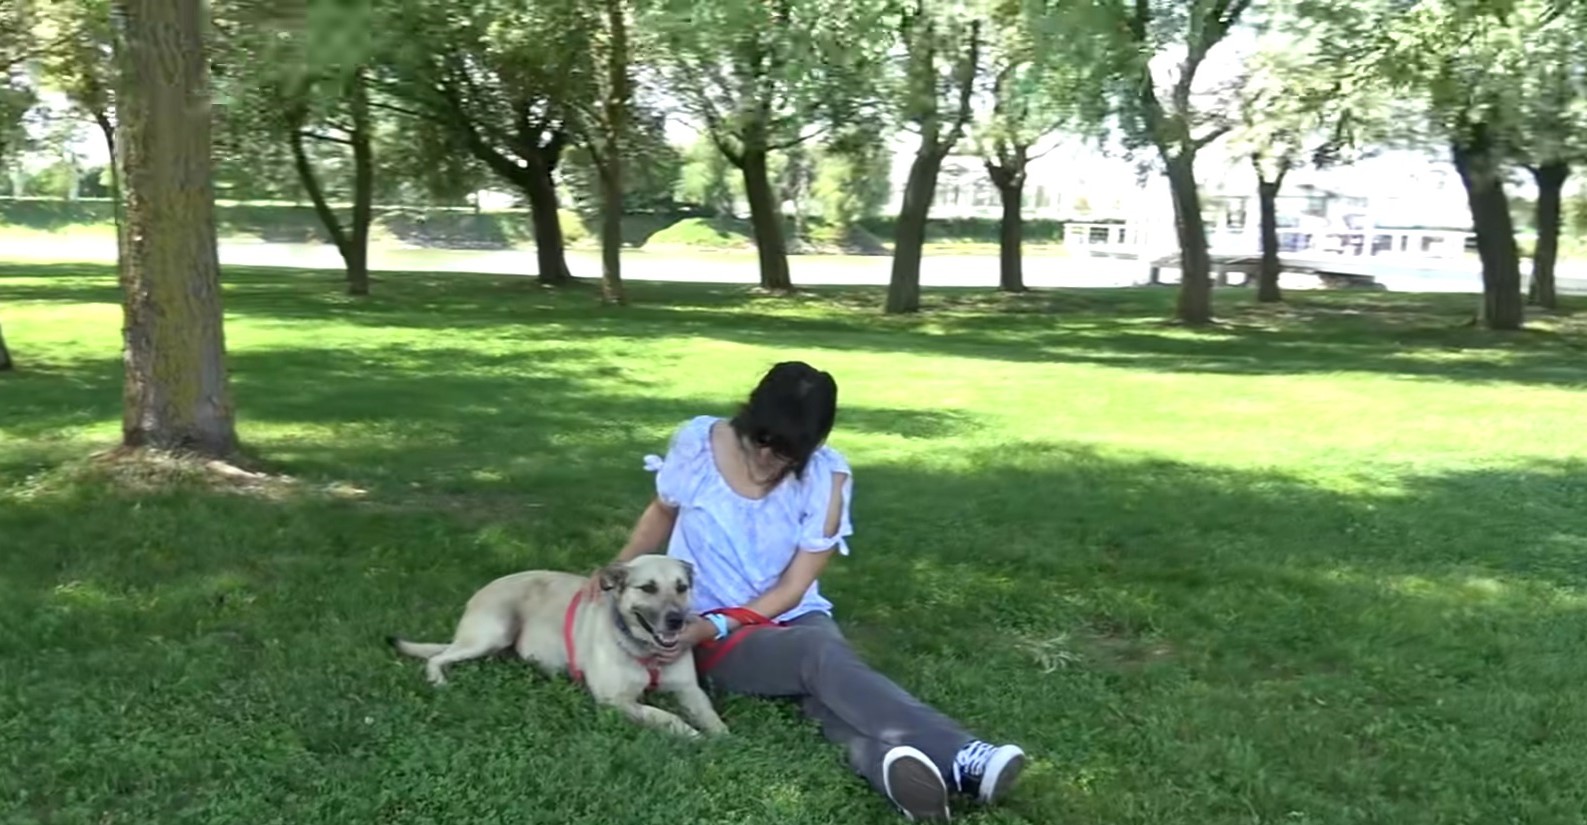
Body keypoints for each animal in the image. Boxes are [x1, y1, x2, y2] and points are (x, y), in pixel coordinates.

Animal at [387, 558, 726, 739]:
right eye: (648, 588)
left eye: (682, 587)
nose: (677, 621)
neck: (646, 652)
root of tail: (483, 590)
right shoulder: (615, 701)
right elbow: (666, 716)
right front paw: (693, 735)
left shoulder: (689, 690)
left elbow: (709, 713)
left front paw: (722, 736)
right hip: (493, 633)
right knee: (437, 657)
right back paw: (438, 680)